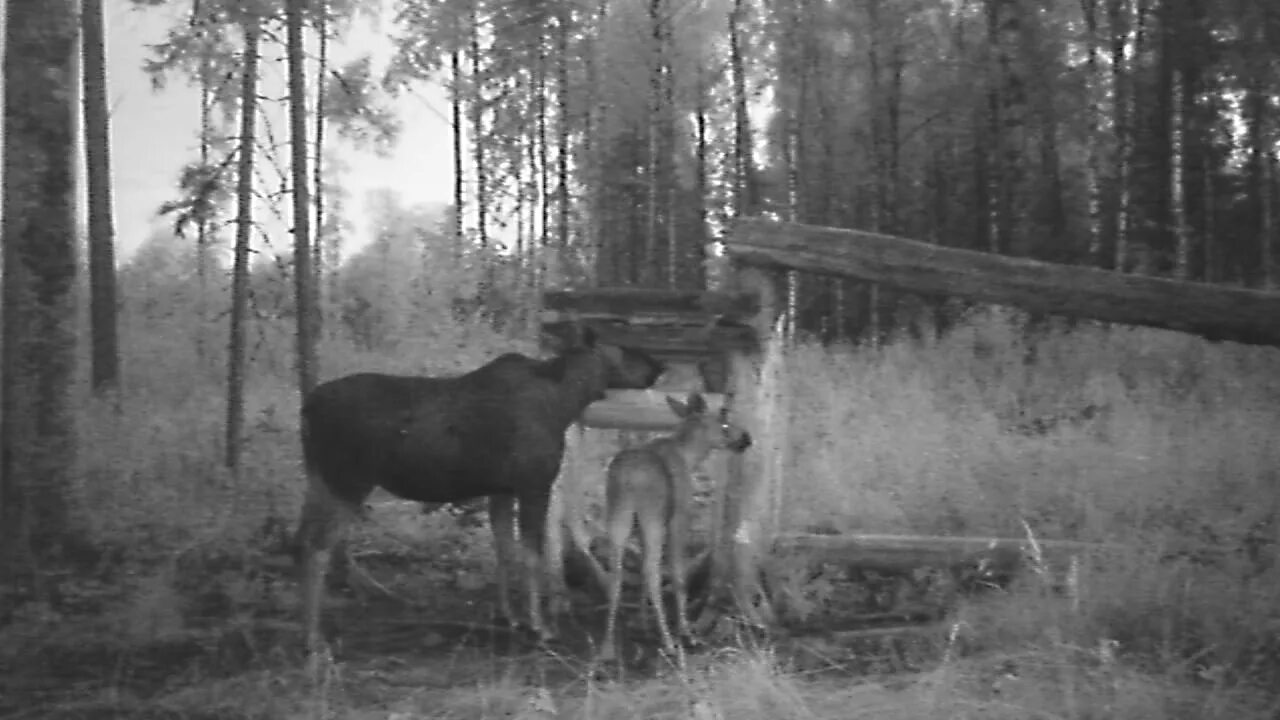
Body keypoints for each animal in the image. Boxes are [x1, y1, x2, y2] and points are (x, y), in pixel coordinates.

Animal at [294, 327, 665, 648]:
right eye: (622, 349)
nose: (658, 365)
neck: (566, 401)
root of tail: (307, 407)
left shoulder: (501, 490)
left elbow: (504, 551)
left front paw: (510, 617)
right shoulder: (534, 483)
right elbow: (532, 554)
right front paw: (540, 626)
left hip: (318, 480)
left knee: (303, 539)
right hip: (348, 480)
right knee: (317, 547)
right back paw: (312, 637)